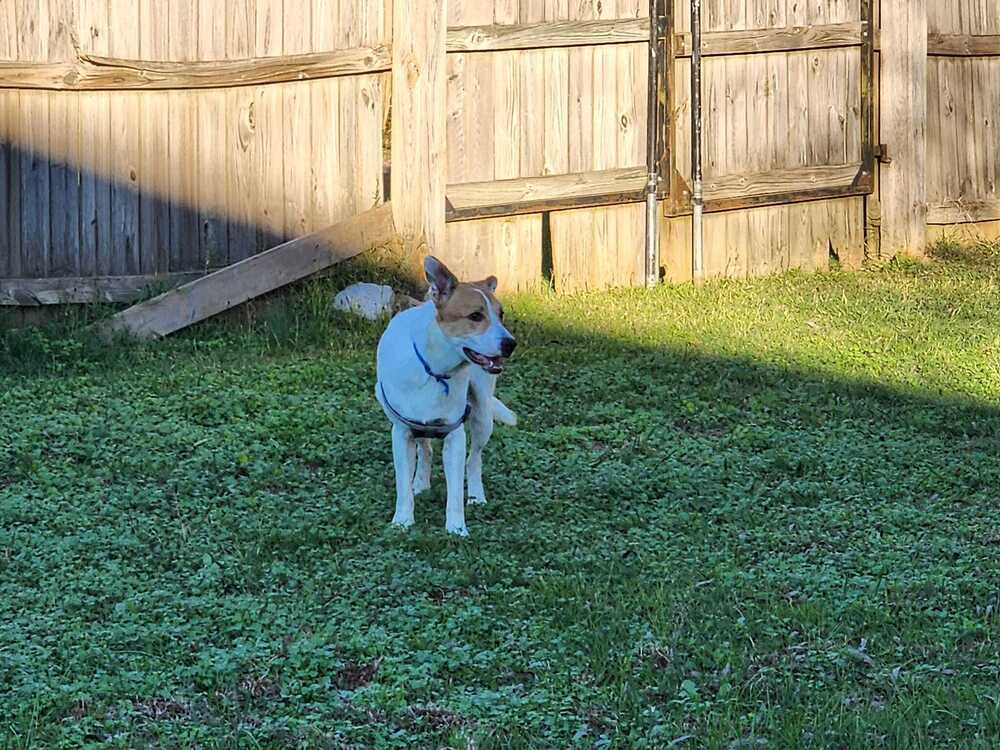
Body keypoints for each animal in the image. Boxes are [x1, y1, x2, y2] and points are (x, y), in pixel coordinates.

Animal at [374, 258, 516, 536]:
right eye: (475, 316)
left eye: (501, 315)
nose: (511, 344)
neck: (434, 368)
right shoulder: (401, 432)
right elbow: (402, 485)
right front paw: (402, 520)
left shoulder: (455, 434)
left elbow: (456, 490)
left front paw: (457, 528)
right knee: (425, 449)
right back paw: (420, 483)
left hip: (483, 417)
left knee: (475, 459)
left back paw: (476, 496)